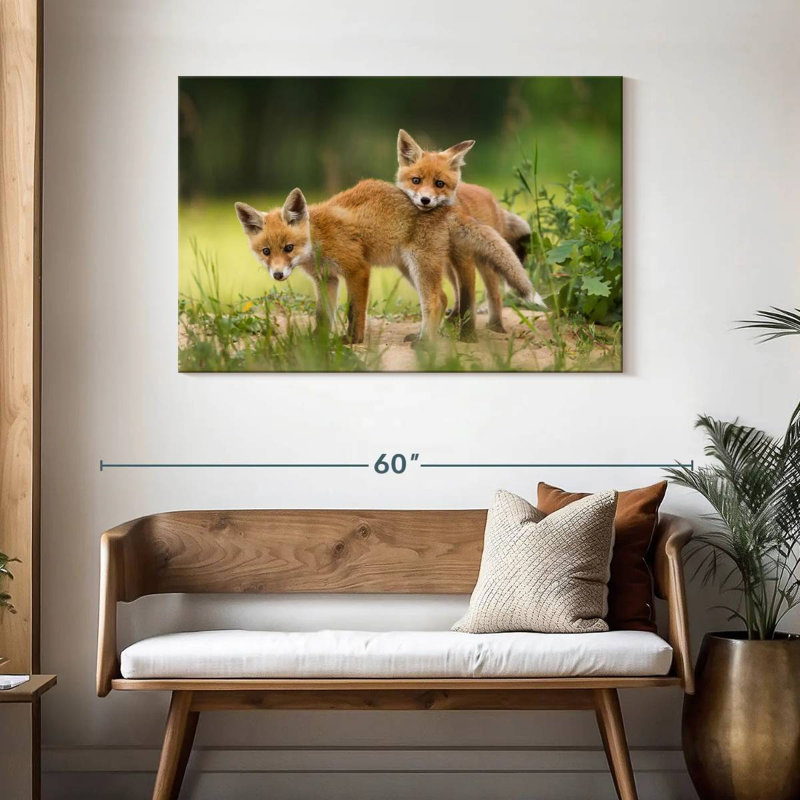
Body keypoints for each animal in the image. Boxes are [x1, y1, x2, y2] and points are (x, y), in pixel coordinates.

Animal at [234, 178, 533, 344]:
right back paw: (424, 336)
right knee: (444, 297)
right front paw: (315, 342)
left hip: (419, 264)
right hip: (407, 267)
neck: (318, 239)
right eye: (266, 251)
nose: (278, 275)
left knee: (435, 300)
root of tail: (447, 207)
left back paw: (426, 343)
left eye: (289, 247)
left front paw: (352, 341)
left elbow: (354, 312)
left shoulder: (357, 269)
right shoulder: (326, 279)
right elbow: (323, 315)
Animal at [395, 129, 535, 334]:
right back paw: (453, 319)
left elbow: (468, 298)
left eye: (439, 184)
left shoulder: (464, 259)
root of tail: (491, 197)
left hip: (485, 261)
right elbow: (459, 296)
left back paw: (496, 326)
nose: (425, 200)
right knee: (457, 292)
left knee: (494, 294)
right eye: (416, 180)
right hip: (448, 265)